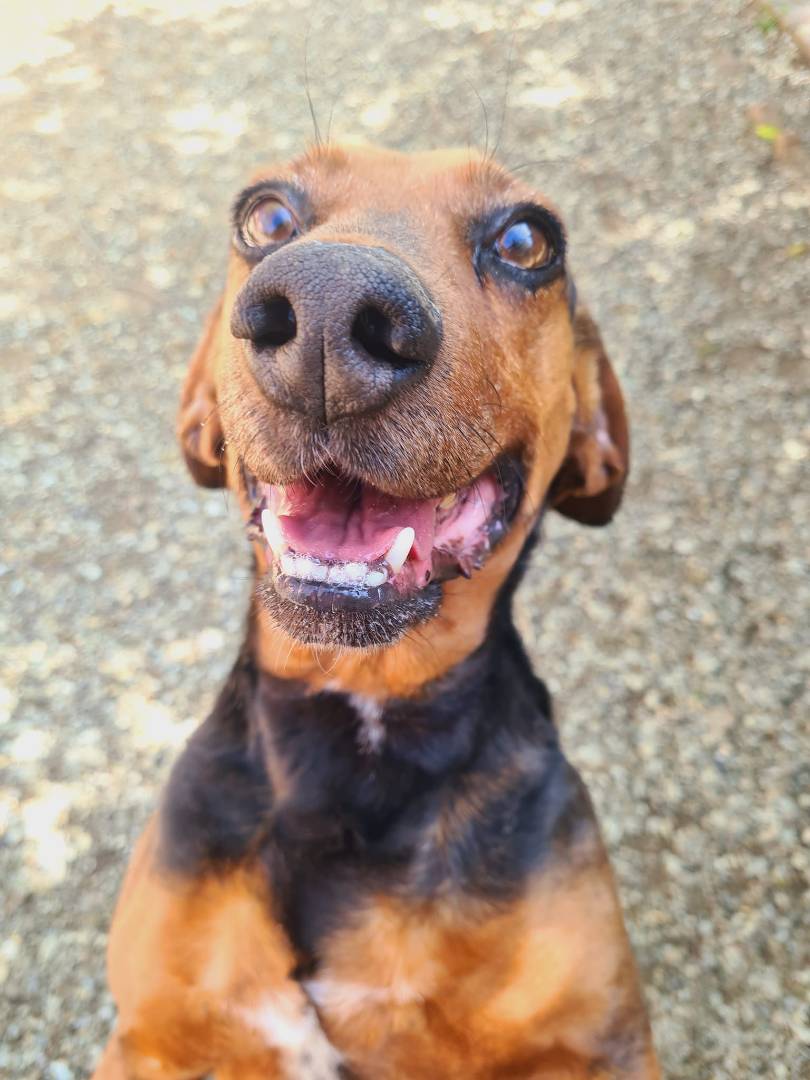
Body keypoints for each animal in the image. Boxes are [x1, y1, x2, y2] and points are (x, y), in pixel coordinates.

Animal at [91, 145, 660, 1080]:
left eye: (528, 240)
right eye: (267, 217)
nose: (328, 305)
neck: (356, 727)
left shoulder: (595, 1044)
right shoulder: (153, 1037)